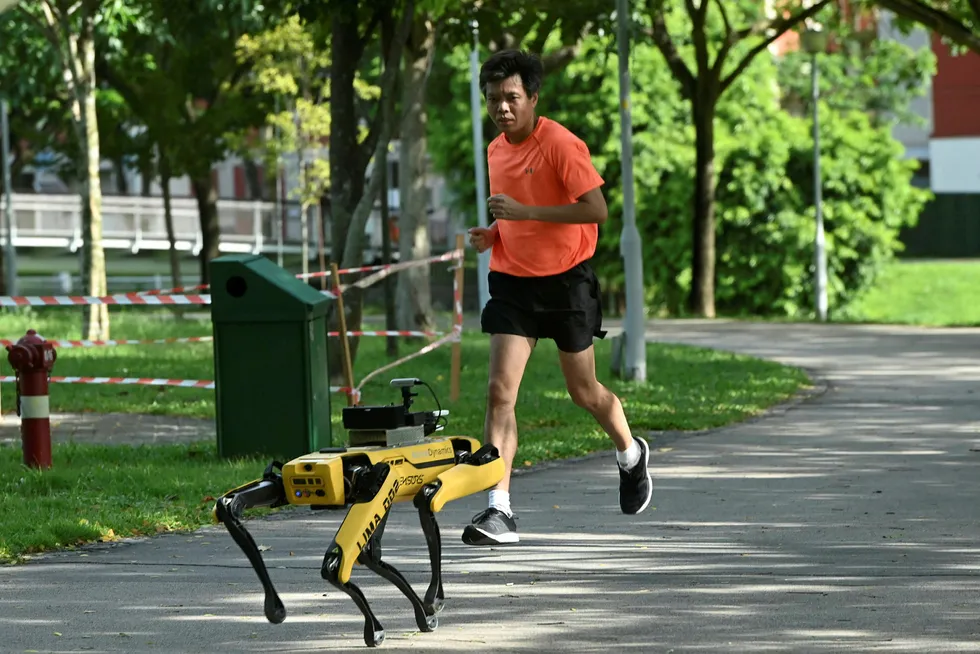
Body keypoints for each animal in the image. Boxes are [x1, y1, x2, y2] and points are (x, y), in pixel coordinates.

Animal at [214, 376, 506, 648]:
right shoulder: (380, 481)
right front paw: (429, 605)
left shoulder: (381, 481)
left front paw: (429, 604)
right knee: (341, 563)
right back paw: (387, 622)